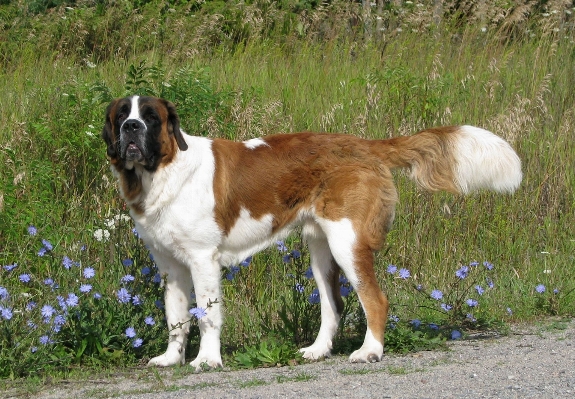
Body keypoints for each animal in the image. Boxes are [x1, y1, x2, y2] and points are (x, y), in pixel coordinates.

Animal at [101, 95, 524, 370]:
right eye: (122, 115)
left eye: (151, 117)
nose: (132, 127)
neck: (162, 171)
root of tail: (364, 144)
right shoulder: (170, 266)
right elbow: (176, 316)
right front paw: (171, 358)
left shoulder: (203, 259)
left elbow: (206, 314)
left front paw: (207, 360)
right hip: (322, 249)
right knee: (333, 304)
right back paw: (318, 351)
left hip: (347, 241)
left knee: (375, 299)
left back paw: (370, 352)